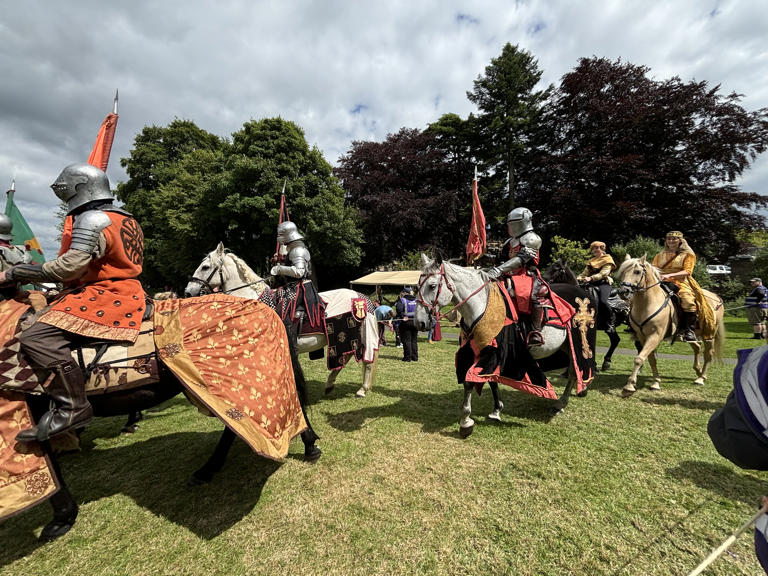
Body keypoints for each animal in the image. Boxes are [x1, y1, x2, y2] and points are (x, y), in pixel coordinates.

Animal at [185, 242, 378, 396]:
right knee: (346, 357)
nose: (188, 291)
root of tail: (362, 297)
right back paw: (330, 384)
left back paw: (362, 389)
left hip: (358, 333)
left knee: (366, 360)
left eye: (205, 267)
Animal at [414, 254, 600, 438]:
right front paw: (496, 410)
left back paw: (562, 402)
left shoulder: (495, 352)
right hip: (566, 346)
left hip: (578, 342)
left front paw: (465, 422)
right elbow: (486, 380)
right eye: (417, 287)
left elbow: (471, 379)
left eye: (432, 286)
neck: (481, 304)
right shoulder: (476, 351)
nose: (419, 322)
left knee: (574, 371)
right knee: (573, 371)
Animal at [612, 256, 728, 396]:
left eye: (637, 272)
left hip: (709, 335)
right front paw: (656, 382)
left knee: (708, 354)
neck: (648, 303)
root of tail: (716, 297)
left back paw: (701, 378)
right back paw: (698, 370)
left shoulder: (655, 336)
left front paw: (629, 386)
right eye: (623, 272)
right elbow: (651, 359)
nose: (623, 291)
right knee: (697, 347)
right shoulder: (642, 337)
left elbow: (639, 358)